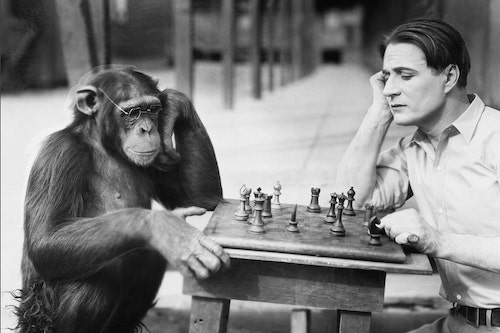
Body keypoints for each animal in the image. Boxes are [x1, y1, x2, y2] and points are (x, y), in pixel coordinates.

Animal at [15, 67, 230, 332]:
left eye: (153, 109)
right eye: (134, 112)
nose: (147, 129)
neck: (105, 147)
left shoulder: (158, 159)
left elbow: (201, 198)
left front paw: (175, 102)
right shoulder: (59, 154)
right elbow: (46, 239)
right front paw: (165, 228)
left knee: (149, 258)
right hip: (39, 319)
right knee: (106, 271)